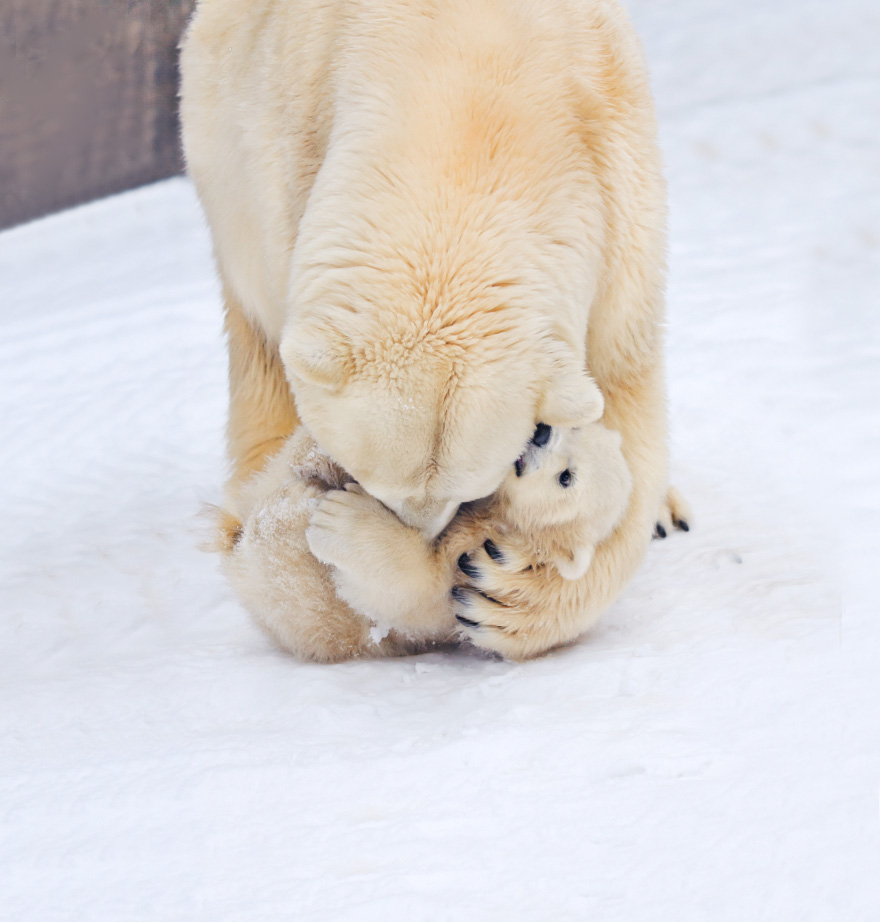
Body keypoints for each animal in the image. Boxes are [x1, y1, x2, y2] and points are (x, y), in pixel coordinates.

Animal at [180, 0, 688, 660]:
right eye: (373, 477)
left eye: (467, 490)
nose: (420, 531)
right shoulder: (291, 152)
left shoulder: (615, 186)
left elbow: (623, 397)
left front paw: (505, 591)